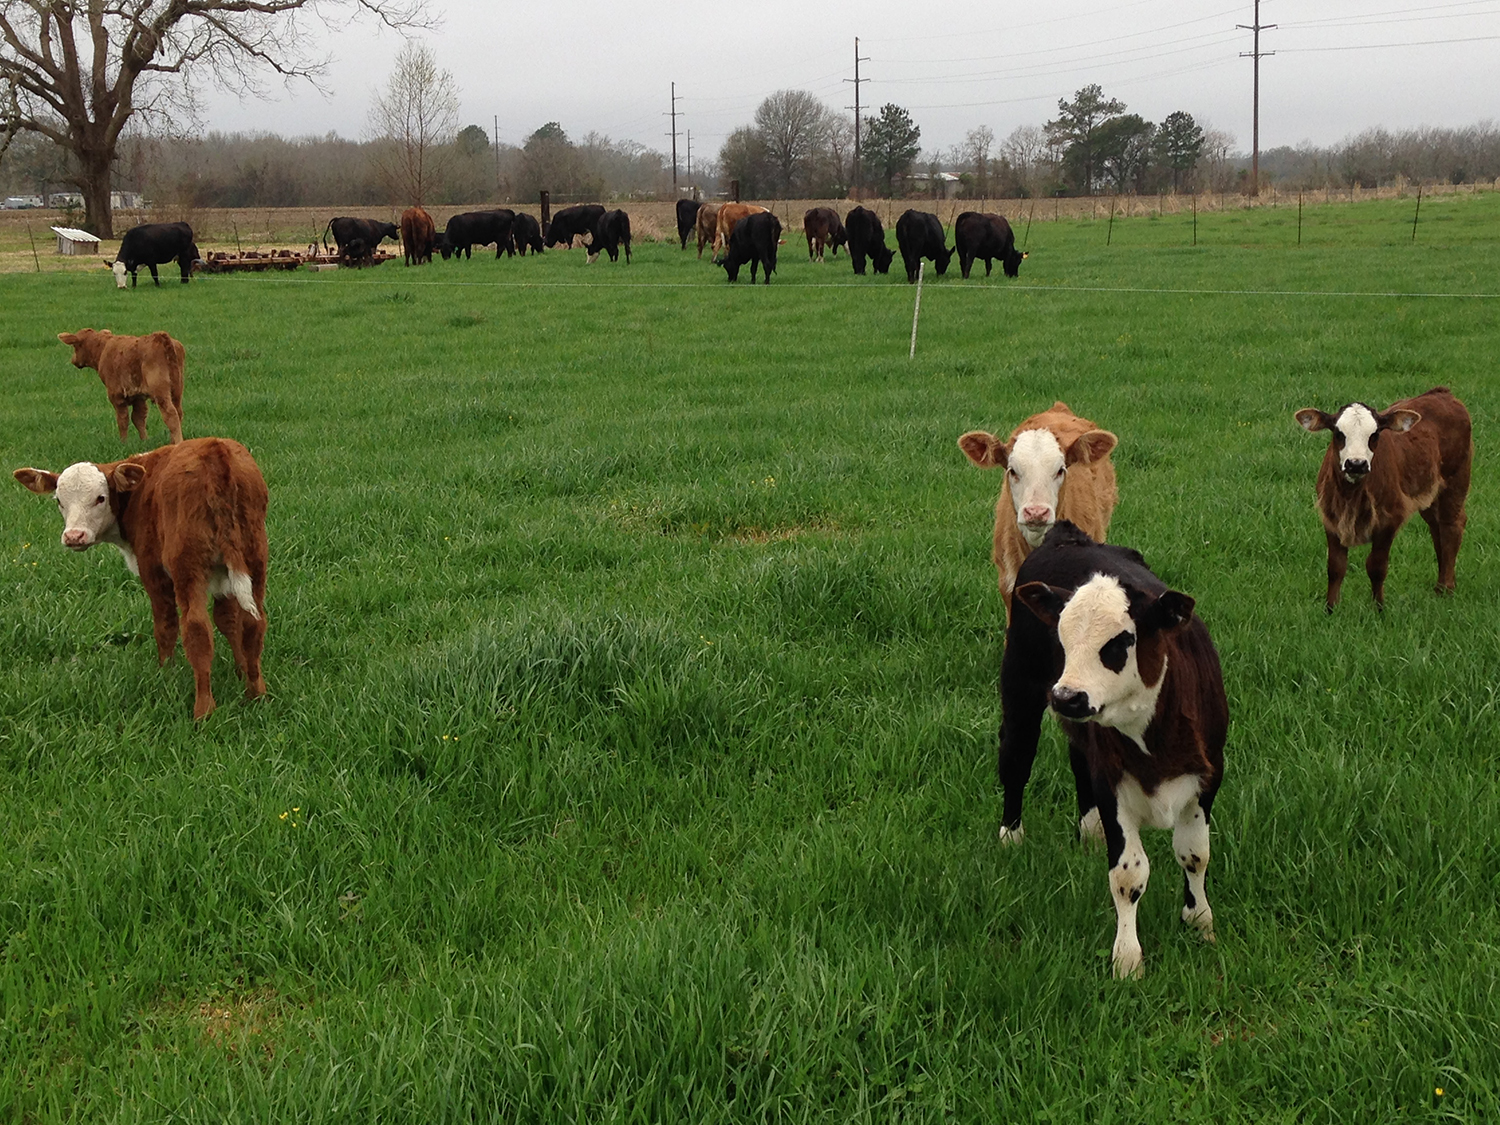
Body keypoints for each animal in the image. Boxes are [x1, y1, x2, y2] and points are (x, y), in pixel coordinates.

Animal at [13, 438, 269, 721]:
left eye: (100, 498)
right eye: (59, 500)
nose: (74, 536)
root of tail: (215, 450)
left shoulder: (153, 571)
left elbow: (166, 627)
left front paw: (166, 674)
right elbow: (229, 621)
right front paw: (241, 671)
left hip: (187, 567)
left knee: (196, 628)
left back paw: (203, 709)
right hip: (254, 557)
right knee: (254, 622)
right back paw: (256, 694)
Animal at [1003, 522, 1227, 979]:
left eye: (1121, 641)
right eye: (1062, 637)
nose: (1066, 696)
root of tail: (1067, 535)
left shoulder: (1208, 777)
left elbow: (1195, 854)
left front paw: (1199, 921)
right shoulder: (1113, 782)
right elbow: (1128, 875)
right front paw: (1127, 959)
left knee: (1077, 760)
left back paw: (1089, 833)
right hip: (1020, 686)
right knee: (1016, 757)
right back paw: (1010, 838)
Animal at [1294, 387, 1472, 611]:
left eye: (1375, 434)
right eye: (1338, 433)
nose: (1356, 464)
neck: (1350, 496)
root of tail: (1442, 393)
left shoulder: (1389, 521)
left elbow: (1377, 567)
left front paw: (1378, 609)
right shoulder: (1331, 518)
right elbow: (1335, 567)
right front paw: (1331, 609)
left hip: (1456, 480)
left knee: (1451, 526)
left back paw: (1446, 588)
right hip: (1430, 493)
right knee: (1436, 527)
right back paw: (1441, 585)